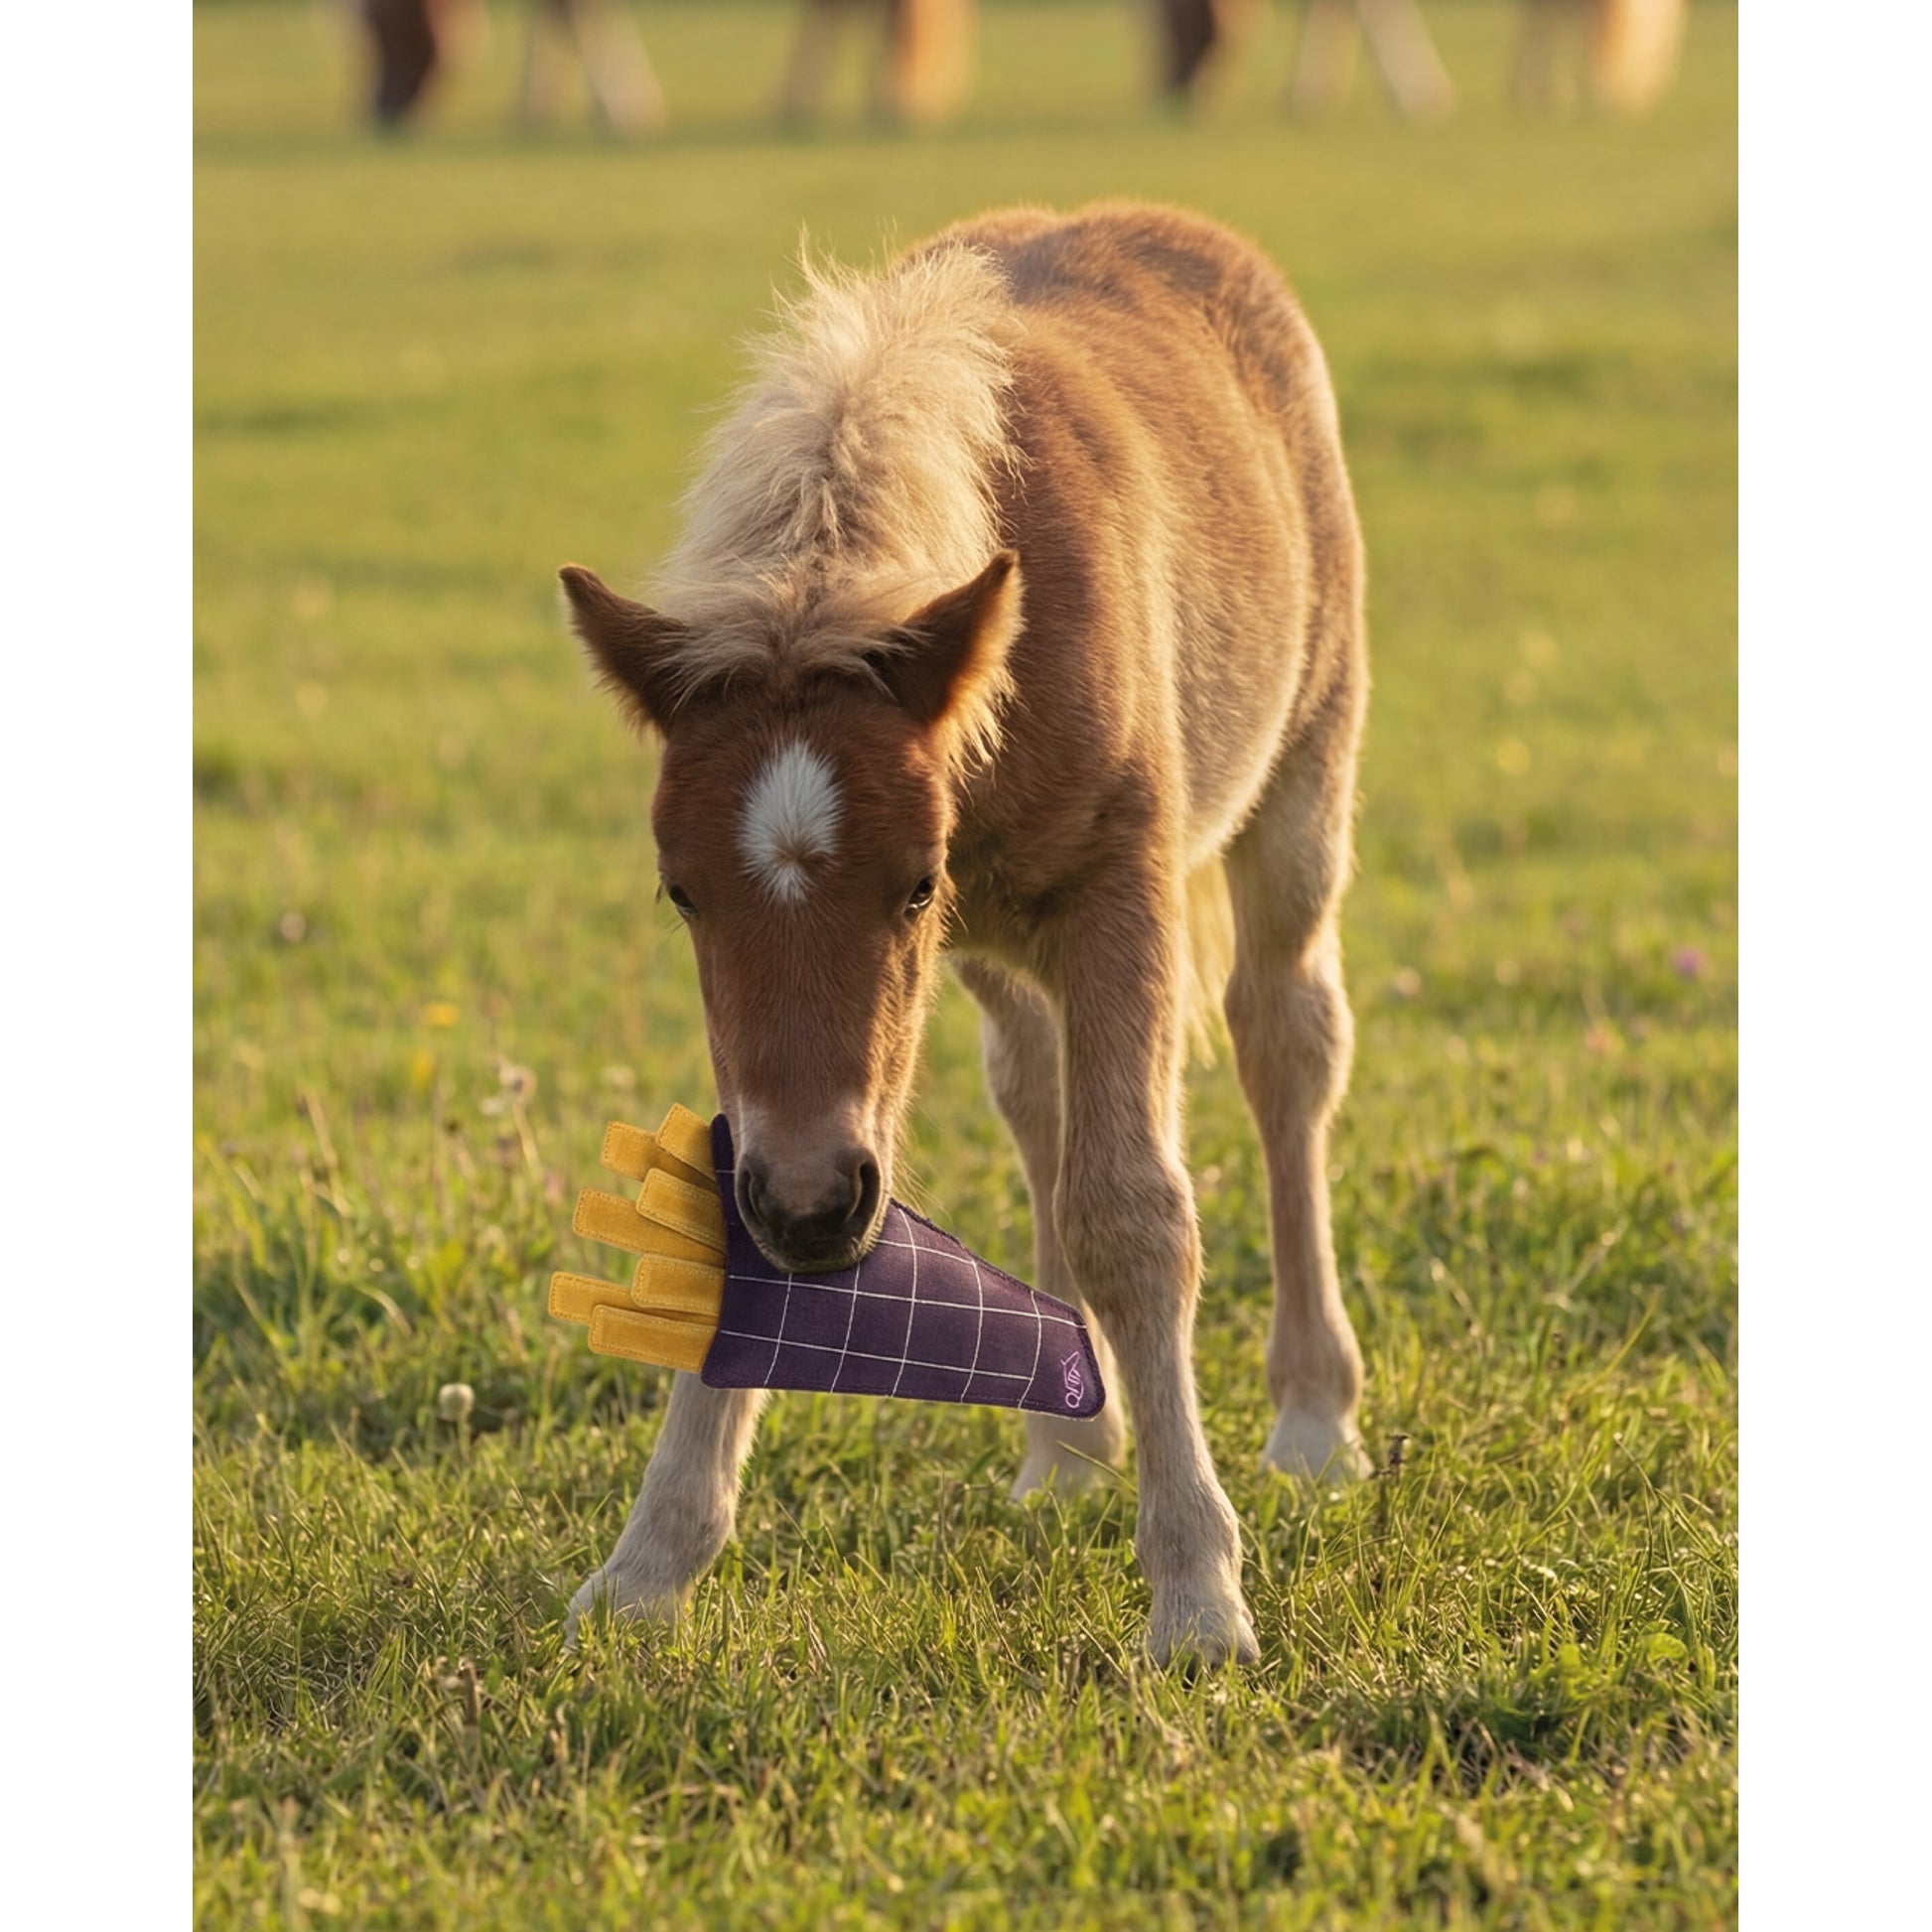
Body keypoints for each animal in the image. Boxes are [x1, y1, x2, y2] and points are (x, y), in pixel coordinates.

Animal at [559, 203, 1371, 1666]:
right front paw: (644, 1568)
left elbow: (1133, 1211)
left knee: (1285, 1043)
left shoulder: (1118, 895)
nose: (812, 1204)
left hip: (1299, 775)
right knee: (1036, 1093)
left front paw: (1197, 1595)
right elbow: (738, 1218)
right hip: (1000, 960)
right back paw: (1066, 1449)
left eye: (912, 881)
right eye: (680, 892)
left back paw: (1312, 1417)